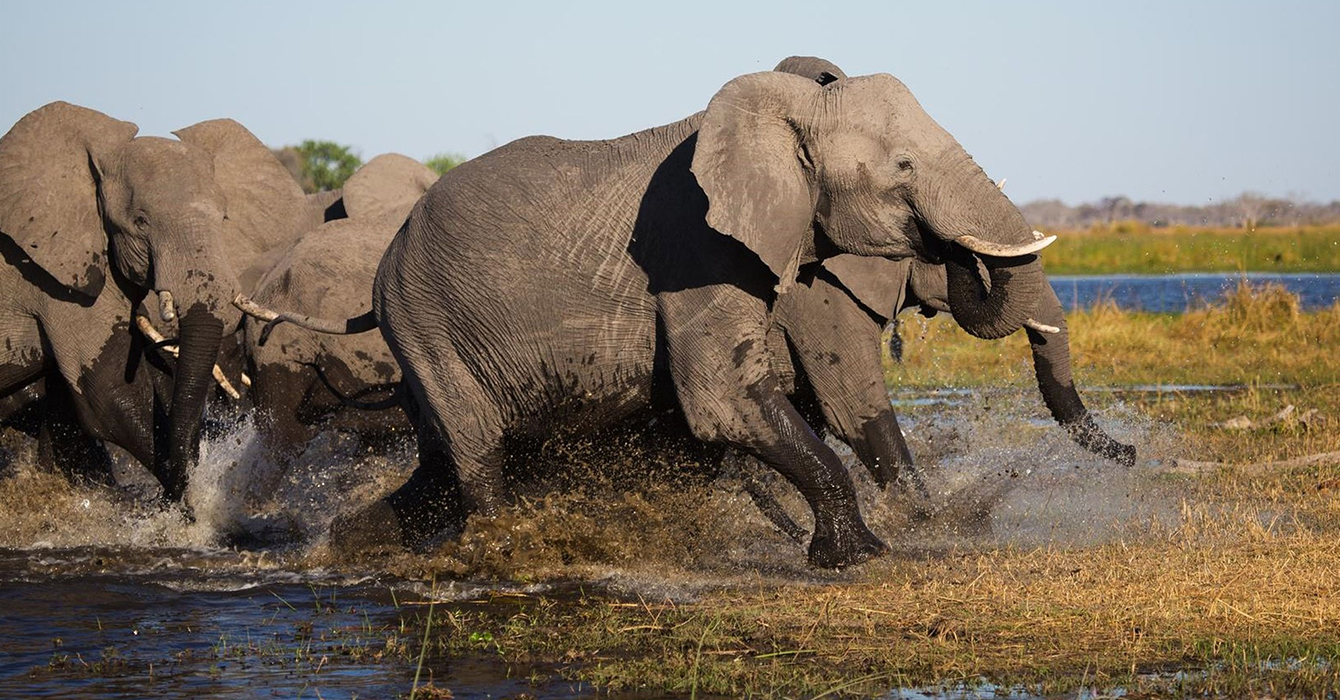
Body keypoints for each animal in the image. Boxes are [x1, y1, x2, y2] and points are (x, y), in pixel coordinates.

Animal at [241, 64, 1055, 565]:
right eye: (903, 169)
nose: (947, 247)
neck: (783, 111)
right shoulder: (693, 246)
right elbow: (722, 400)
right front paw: (858, 557)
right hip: (426, 326)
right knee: (476, 452)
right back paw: (504, 547)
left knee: (443, 465)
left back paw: (344, 548)